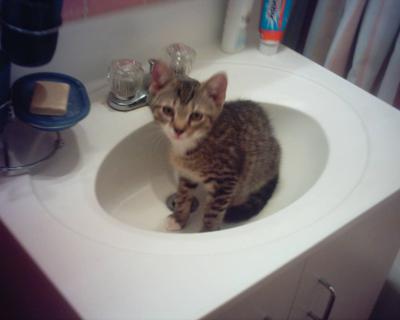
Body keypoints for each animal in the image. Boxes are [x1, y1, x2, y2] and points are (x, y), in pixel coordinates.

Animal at [148, 60, 280, 231]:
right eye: (167, 110)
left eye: (196, 115)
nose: (178, 130)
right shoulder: (187, 174)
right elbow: (183, 195)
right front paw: (179, 218)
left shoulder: (226, 180)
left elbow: (213, 212)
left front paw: (207, 231)